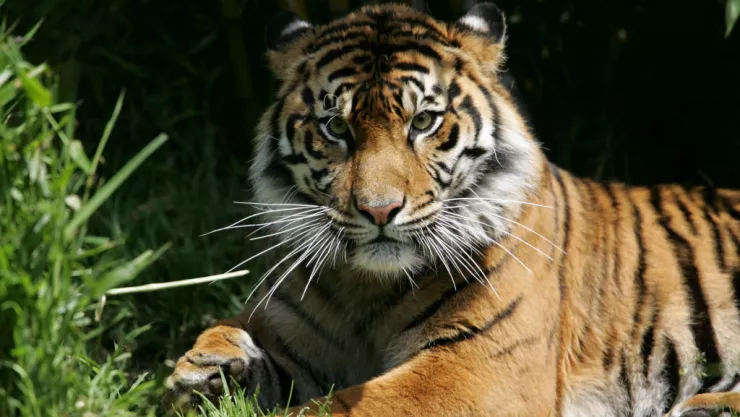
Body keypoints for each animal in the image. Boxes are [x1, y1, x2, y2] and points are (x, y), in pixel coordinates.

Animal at [165, 3, 740, 416]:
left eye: (423, 122)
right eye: (336, 127)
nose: (379, 210)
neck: (364, 291)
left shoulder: (472, 369)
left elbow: (329, 410)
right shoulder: (290, 327)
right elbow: (234, 336)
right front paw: (205, 367)